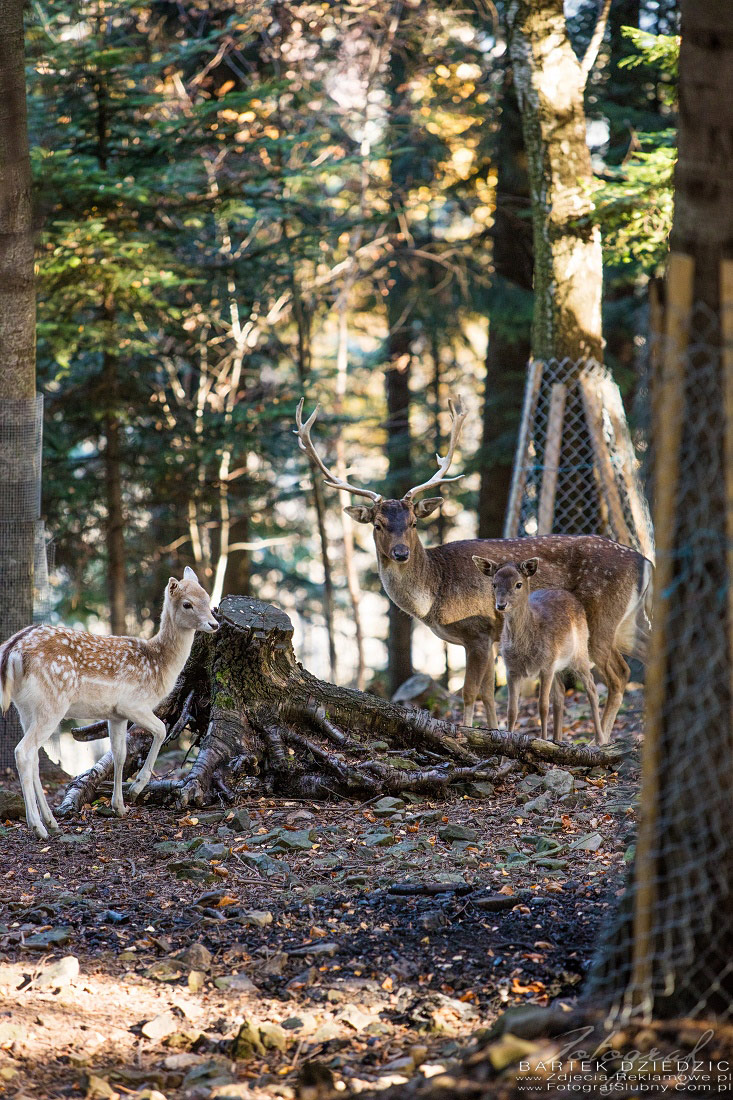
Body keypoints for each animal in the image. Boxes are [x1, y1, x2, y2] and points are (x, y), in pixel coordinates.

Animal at [0, 567, 216, 840]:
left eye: (207, 597)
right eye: (187, 604)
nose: (215, 624)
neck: (159, 666)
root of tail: (12, 651)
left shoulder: (115, 714)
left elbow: (120, 754)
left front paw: (119, 806)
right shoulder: (132, 704)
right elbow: (161, 730)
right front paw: (136, 788)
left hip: (25, 708)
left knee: (34, 757)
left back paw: (51, 821)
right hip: (52, 704)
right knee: (23, 752)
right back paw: (38, 827)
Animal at [471, 558, 603, 748]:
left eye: (518, 584)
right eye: (494, 584)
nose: (501, 605)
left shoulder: (545, 667)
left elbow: (542, 706)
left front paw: (542, 741)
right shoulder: (511, 670)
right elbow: (511, 710)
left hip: (580, 653)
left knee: (591, 687)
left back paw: (600, 739)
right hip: (557, 664)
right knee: (560, 693)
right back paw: (558, 738)